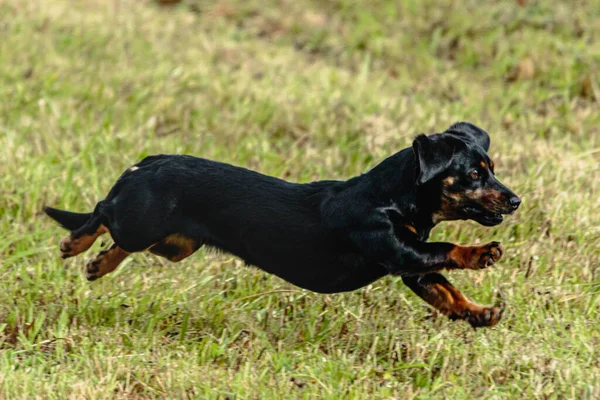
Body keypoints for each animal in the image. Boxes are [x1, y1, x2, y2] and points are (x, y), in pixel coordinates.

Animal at [43, 122, 520, 328]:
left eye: (492, 169)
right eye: (474, 174)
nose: (516, 200)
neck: (394, 197)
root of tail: (146, 163)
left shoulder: (414, 270)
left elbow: (448, 293)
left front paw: (480, 314)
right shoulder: (398, 251)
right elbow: (448, 249)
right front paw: (483, 253)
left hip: (175, 244)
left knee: (119, 239)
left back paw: (98, 264)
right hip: (141, 223)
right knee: (101, 212)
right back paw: (75, 246)